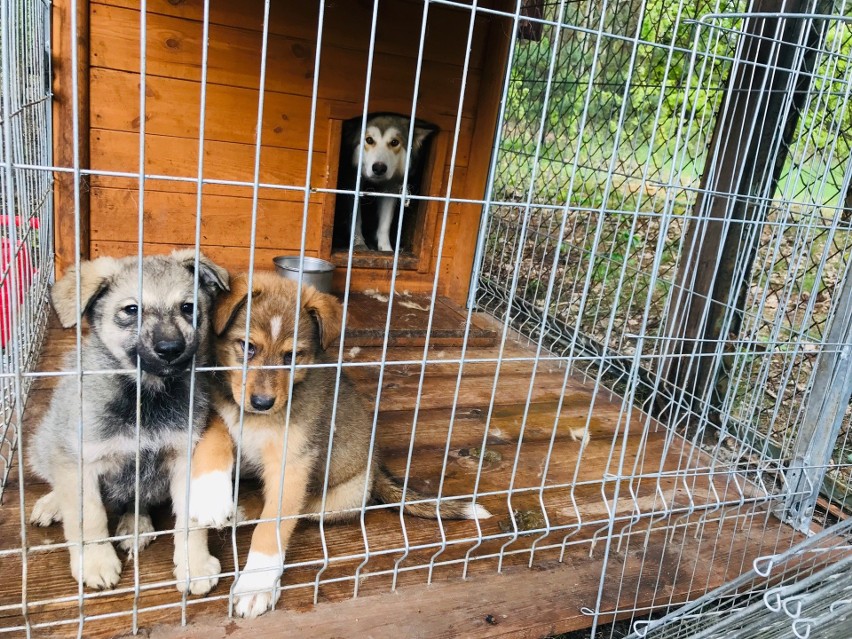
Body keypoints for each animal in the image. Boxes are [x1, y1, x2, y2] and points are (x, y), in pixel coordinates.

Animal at [29, 249, 230, 596]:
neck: (146, 397)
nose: (170, 349)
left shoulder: (184, 458)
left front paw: (195, 565)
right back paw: (53, 503)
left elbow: (191, 523)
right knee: (59, 480)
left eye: (188, 307)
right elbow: (88, 518)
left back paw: (135, 525)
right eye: (131, 310)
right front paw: (95, 562)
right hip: (45, 443)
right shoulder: (81, 461)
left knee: (136, 500)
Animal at [188, 274, 492, 620]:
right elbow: (216, 439)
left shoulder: (293, 463)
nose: (263, 403)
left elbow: (272, 527)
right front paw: (210, 497)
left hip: (332, 500)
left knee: (287, 509)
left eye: (292, 357)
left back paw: (241, 511)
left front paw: (256, 587)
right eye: (247, 347)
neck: (256, 419)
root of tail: (375, 468)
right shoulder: (219, 412)